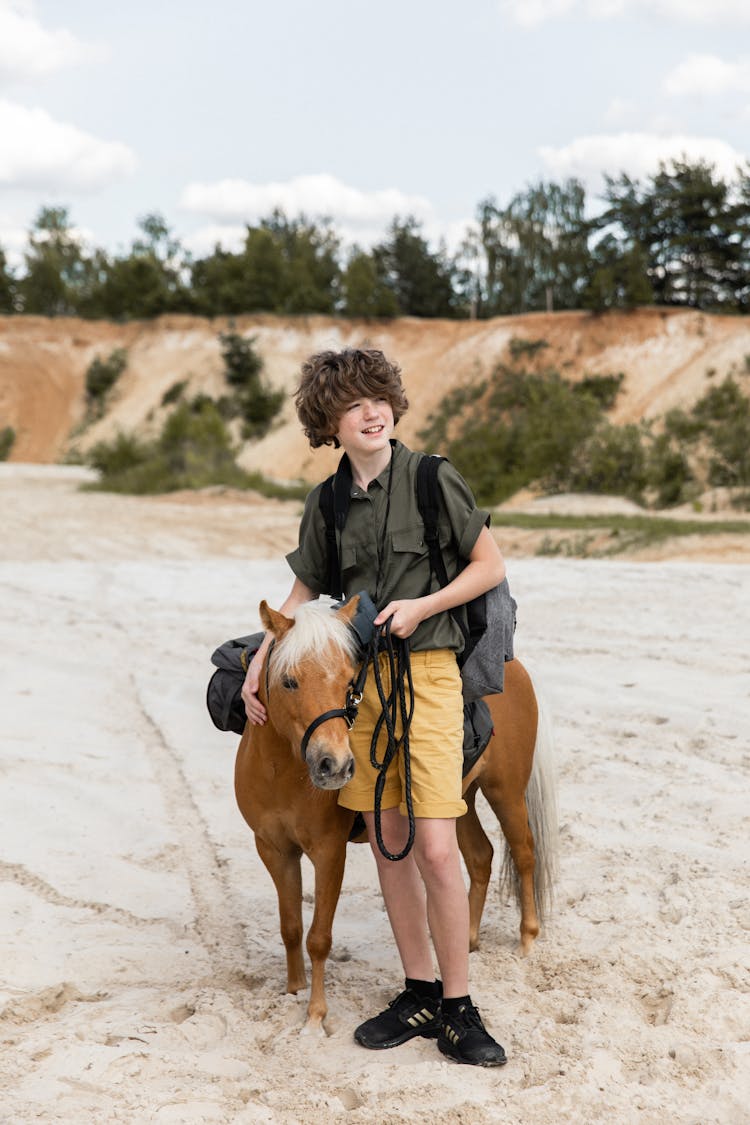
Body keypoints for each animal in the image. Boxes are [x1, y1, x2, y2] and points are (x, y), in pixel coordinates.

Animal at [235, 598, 557, 1030]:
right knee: (480, 857)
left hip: (505, 793)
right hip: (458, 801)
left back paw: (527, 940)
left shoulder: (328, 852)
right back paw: (468, 940)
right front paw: (293, 991)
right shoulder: (273, 850)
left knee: (523, 853)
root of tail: (515, 668)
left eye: (350, 682)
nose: (335, 765)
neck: (281, 771)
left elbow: (318, 937)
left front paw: (316, 1014)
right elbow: (290, 928)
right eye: (289, 682)